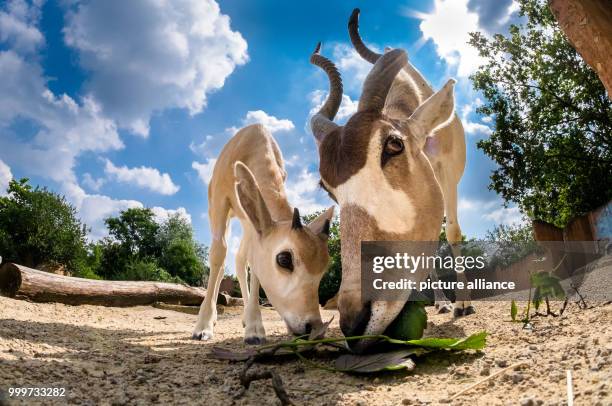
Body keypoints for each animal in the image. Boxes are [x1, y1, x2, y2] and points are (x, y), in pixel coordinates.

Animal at [192, 124, 332, 346]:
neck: (251, 143)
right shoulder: (221, 200)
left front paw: (255, 329)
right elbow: (217, 255)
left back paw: (245, 319)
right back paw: (212, 318)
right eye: (284, 259)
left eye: (325, 267)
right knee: (221, 261)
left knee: (241, 259)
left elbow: (254, 263)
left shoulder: (256, 224)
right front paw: (202, 328)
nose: (315, 328)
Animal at [308, 40, 466, 348]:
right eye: (328, 188)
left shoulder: (449, 175)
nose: (354, 320)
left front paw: (463, 304)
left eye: (394, 145)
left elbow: (453, 232)